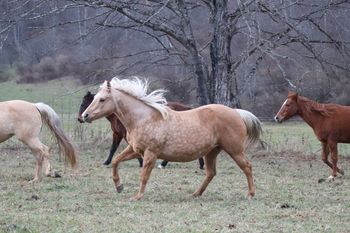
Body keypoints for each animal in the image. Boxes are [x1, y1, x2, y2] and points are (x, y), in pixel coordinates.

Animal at [82, 77, 262, 200]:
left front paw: (137, 196)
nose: (85, 116)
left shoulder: (150, 154)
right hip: (211, 152)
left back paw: (250, 194)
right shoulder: (135, 150)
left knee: (247, 167)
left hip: (234, 151)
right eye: (95, 98)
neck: (143, 118)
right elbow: (115, 161)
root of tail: (236, 112)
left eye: (102, 99)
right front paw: (119, 186)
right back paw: (195, 194)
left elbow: (144, 175)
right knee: (211, 173)